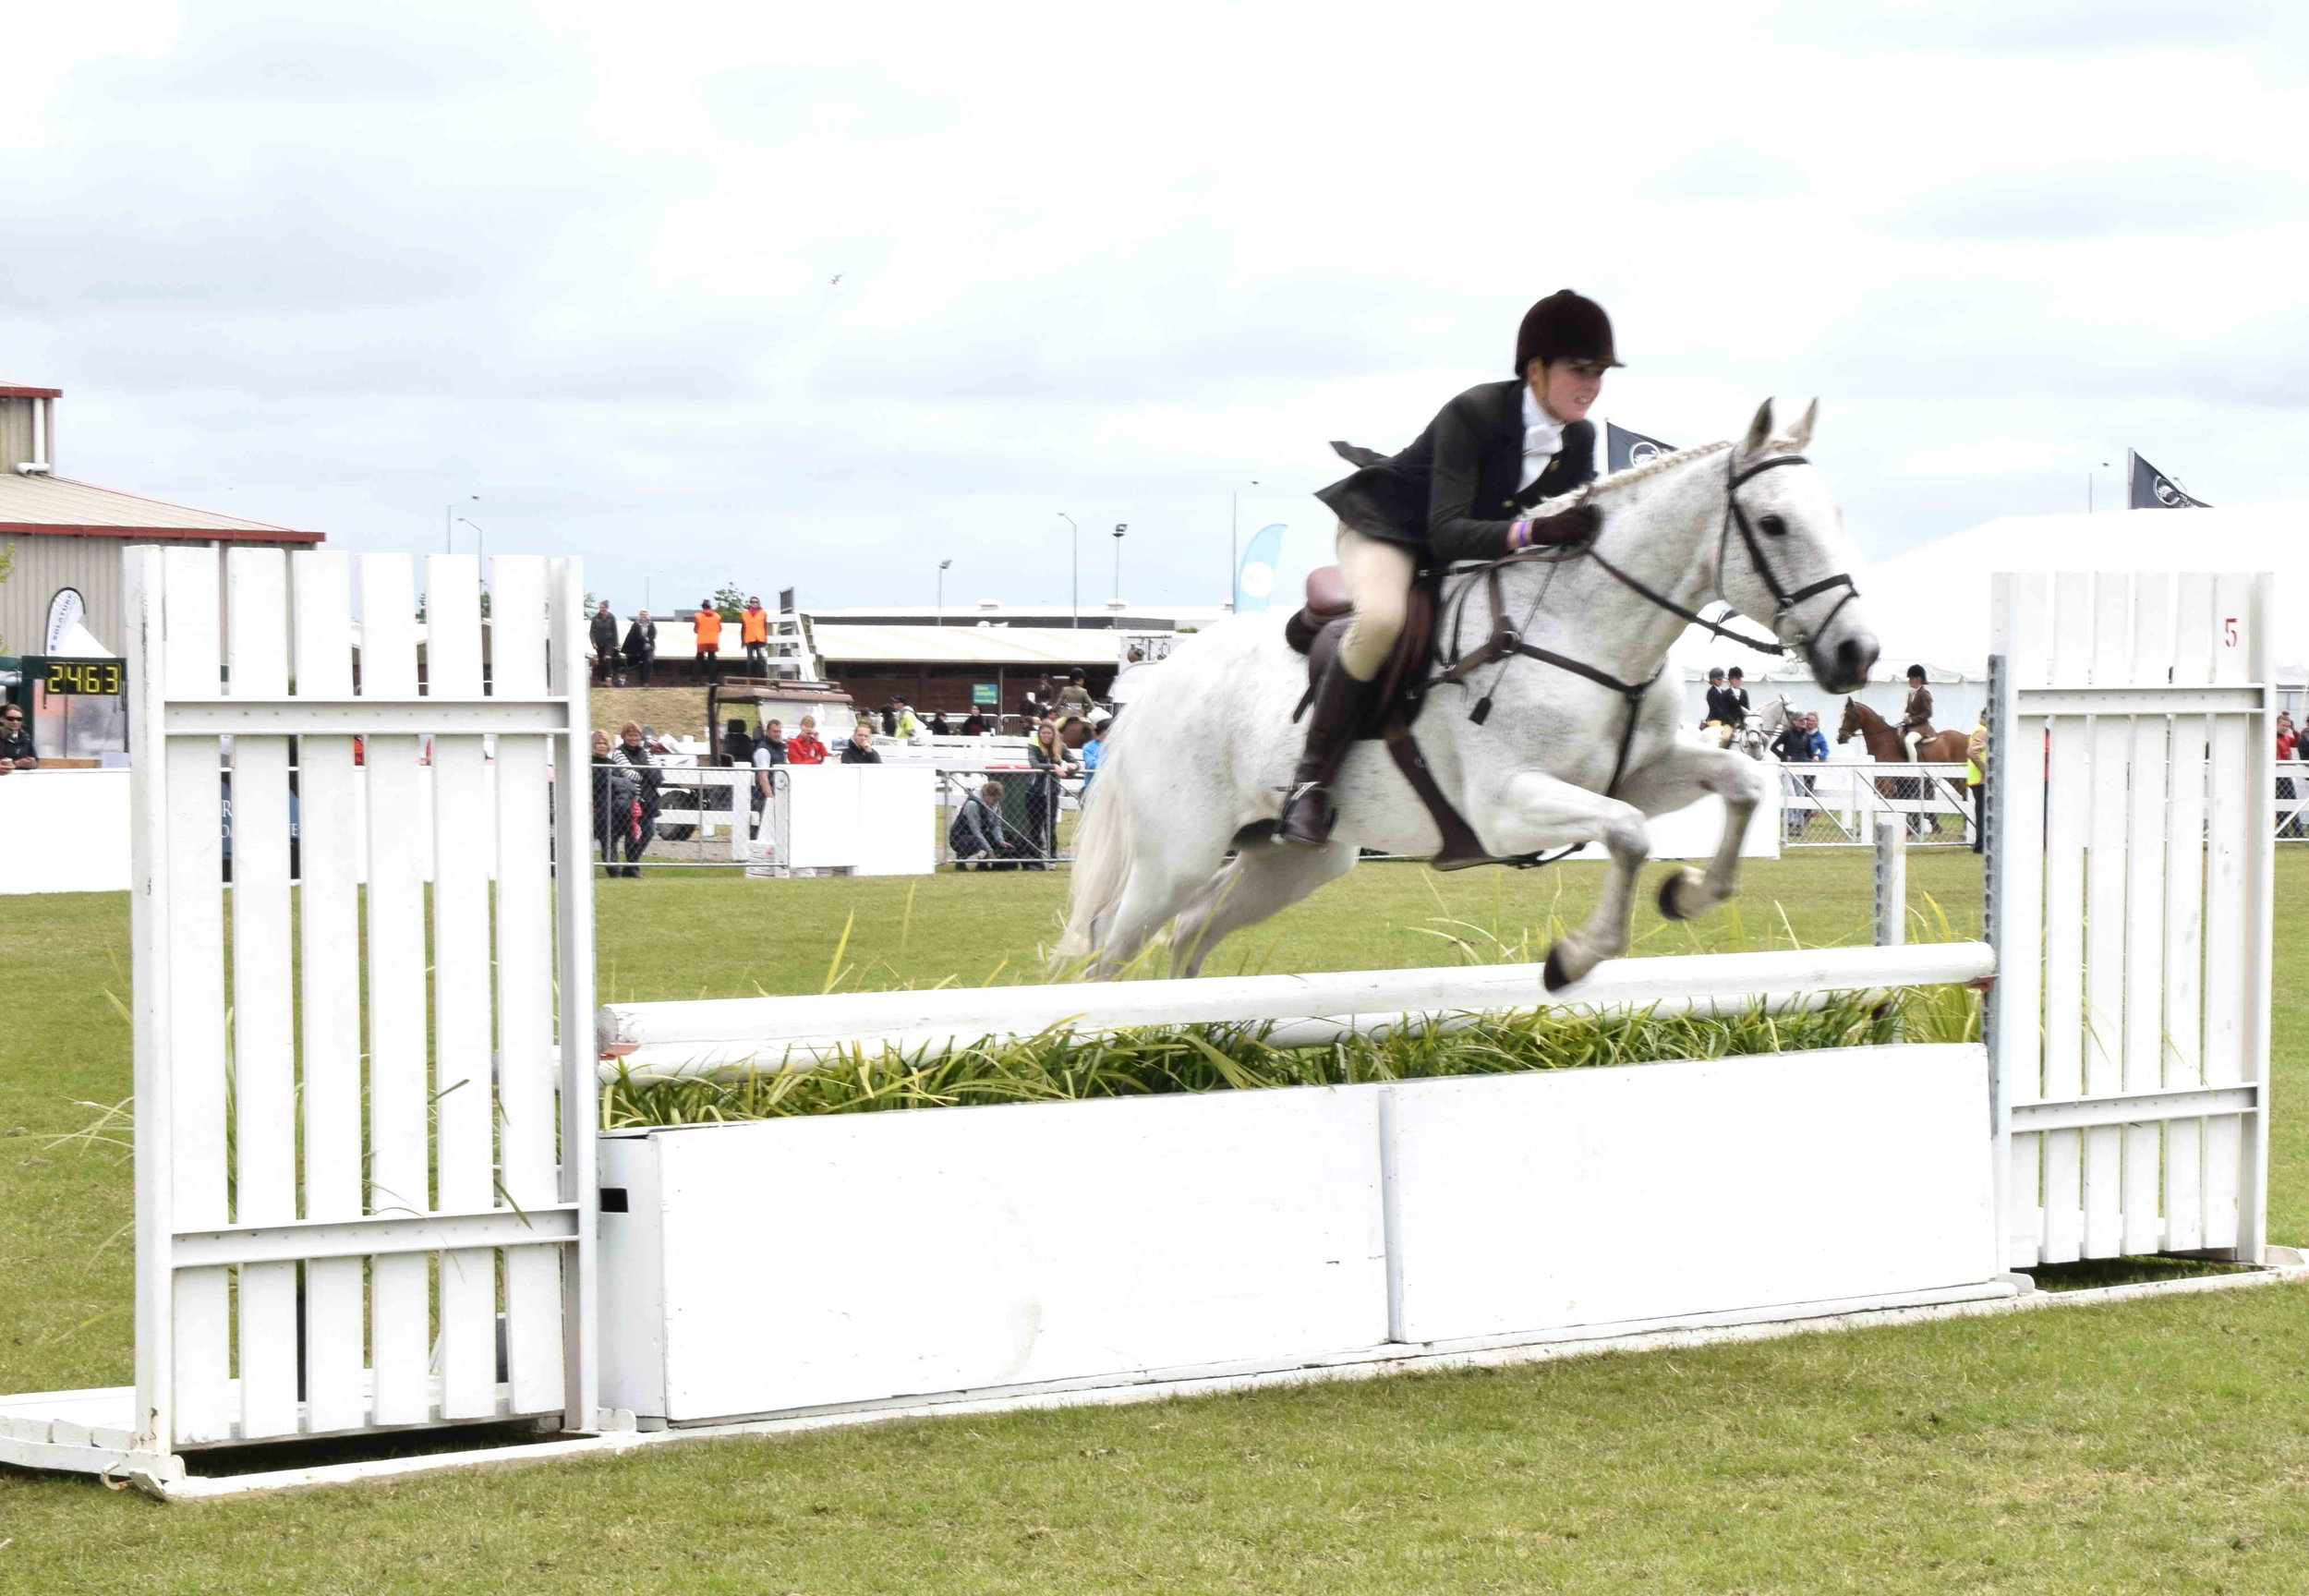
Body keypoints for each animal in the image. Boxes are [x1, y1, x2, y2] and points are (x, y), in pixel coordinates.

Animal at [1058, 399, 1875, 993]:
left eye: (1837, 517)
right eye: (1773, 523)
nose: (1857, 654)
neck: (1584, 628)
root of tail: (1157, 685)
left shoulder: (1639, 773)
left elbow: (1741, 782)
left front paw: (1690, 894)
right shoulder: (1505, 807)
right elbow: (1630, 835)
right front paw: (1574, 958)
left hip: (1290, 861)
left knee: (1191, 930)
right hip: (1178, 853)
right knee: (1110, 950)